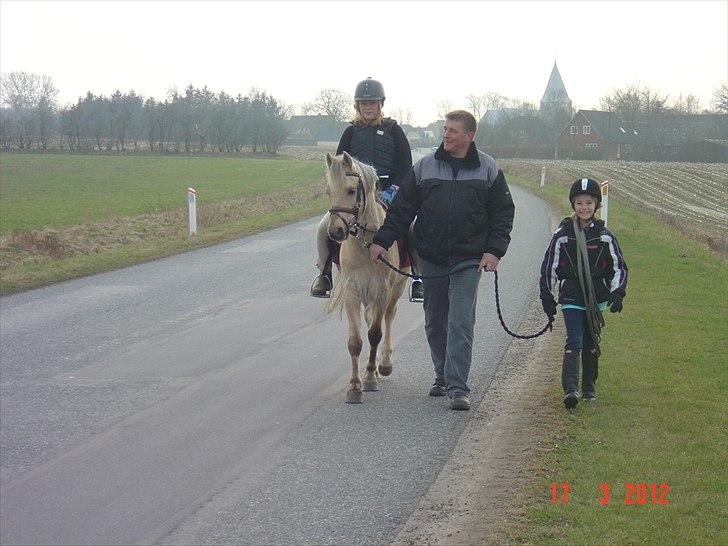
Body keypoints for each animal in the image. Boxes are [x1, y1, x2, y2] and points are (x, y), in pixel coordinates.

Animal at [324, 151, 410, 402]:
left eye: (352, 190)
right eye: (329, 191)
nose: (336, 232)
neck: (365, 245)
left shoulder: (382, 292)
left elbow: (374, 334)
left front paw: (371, 376)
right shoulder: (352, 293)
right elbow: (355, 341)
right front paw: (354, 386)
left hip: (396, 290)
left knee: (389, 317)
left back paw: (385, 365)